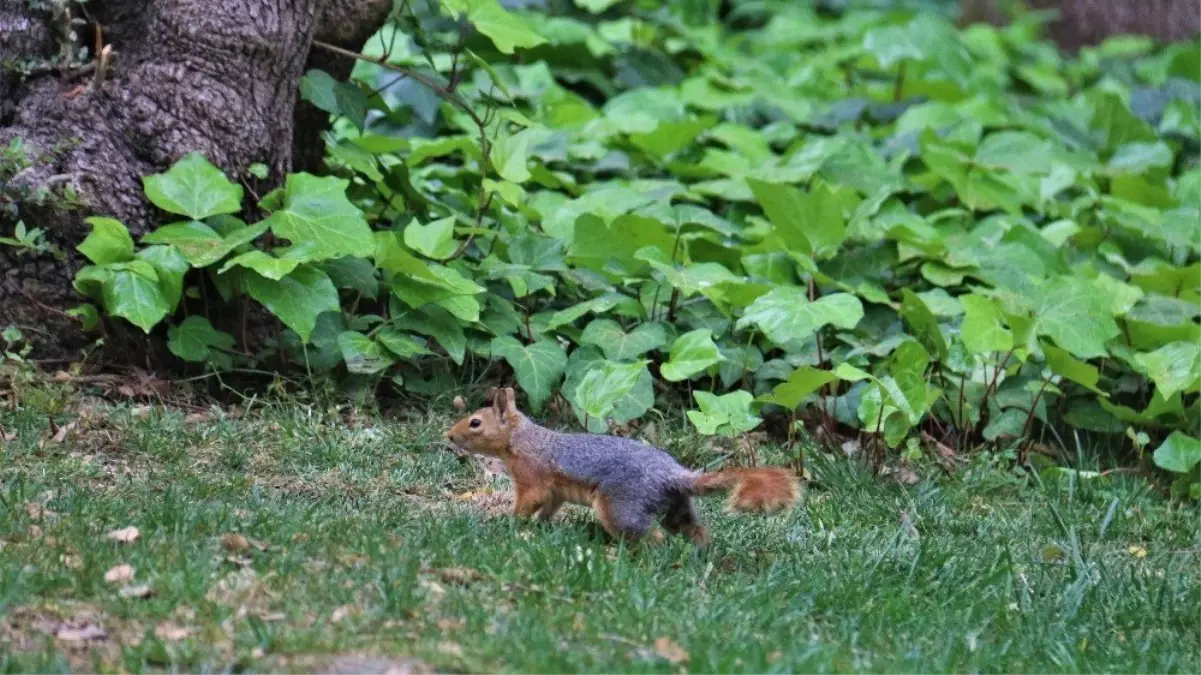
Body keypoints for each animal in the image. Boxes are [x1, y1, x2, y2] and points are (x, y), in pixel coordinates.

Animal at [446, 386, 802, 542]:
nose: (449, 436)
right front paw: (541, 525)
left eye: (475, 423)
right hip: (675, 506)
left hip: (620, 507)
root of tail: (673, 475)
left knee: (652, 537)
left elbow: (529, 501)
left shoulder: (531, 475)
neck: (521, 439)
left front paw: (511, 523)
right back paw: (700, 555)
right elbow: (549, 506)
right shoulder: (555, 491)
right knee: (694, 530)